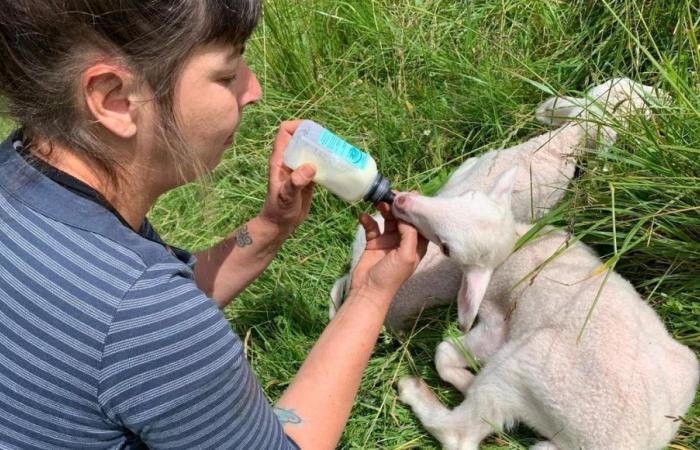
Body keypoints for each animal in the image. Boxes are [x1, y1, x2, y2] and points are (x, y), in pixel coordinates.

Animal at [392, 169, 696, 450]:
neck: (515, 247)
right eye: (467, 196)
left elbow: (444, 351)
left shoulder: (499, 321)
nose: (402, 201)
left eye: (446, 249)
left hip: (521, 365)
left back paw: (415, 390)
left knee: (459, 434)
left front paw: (466, 380)